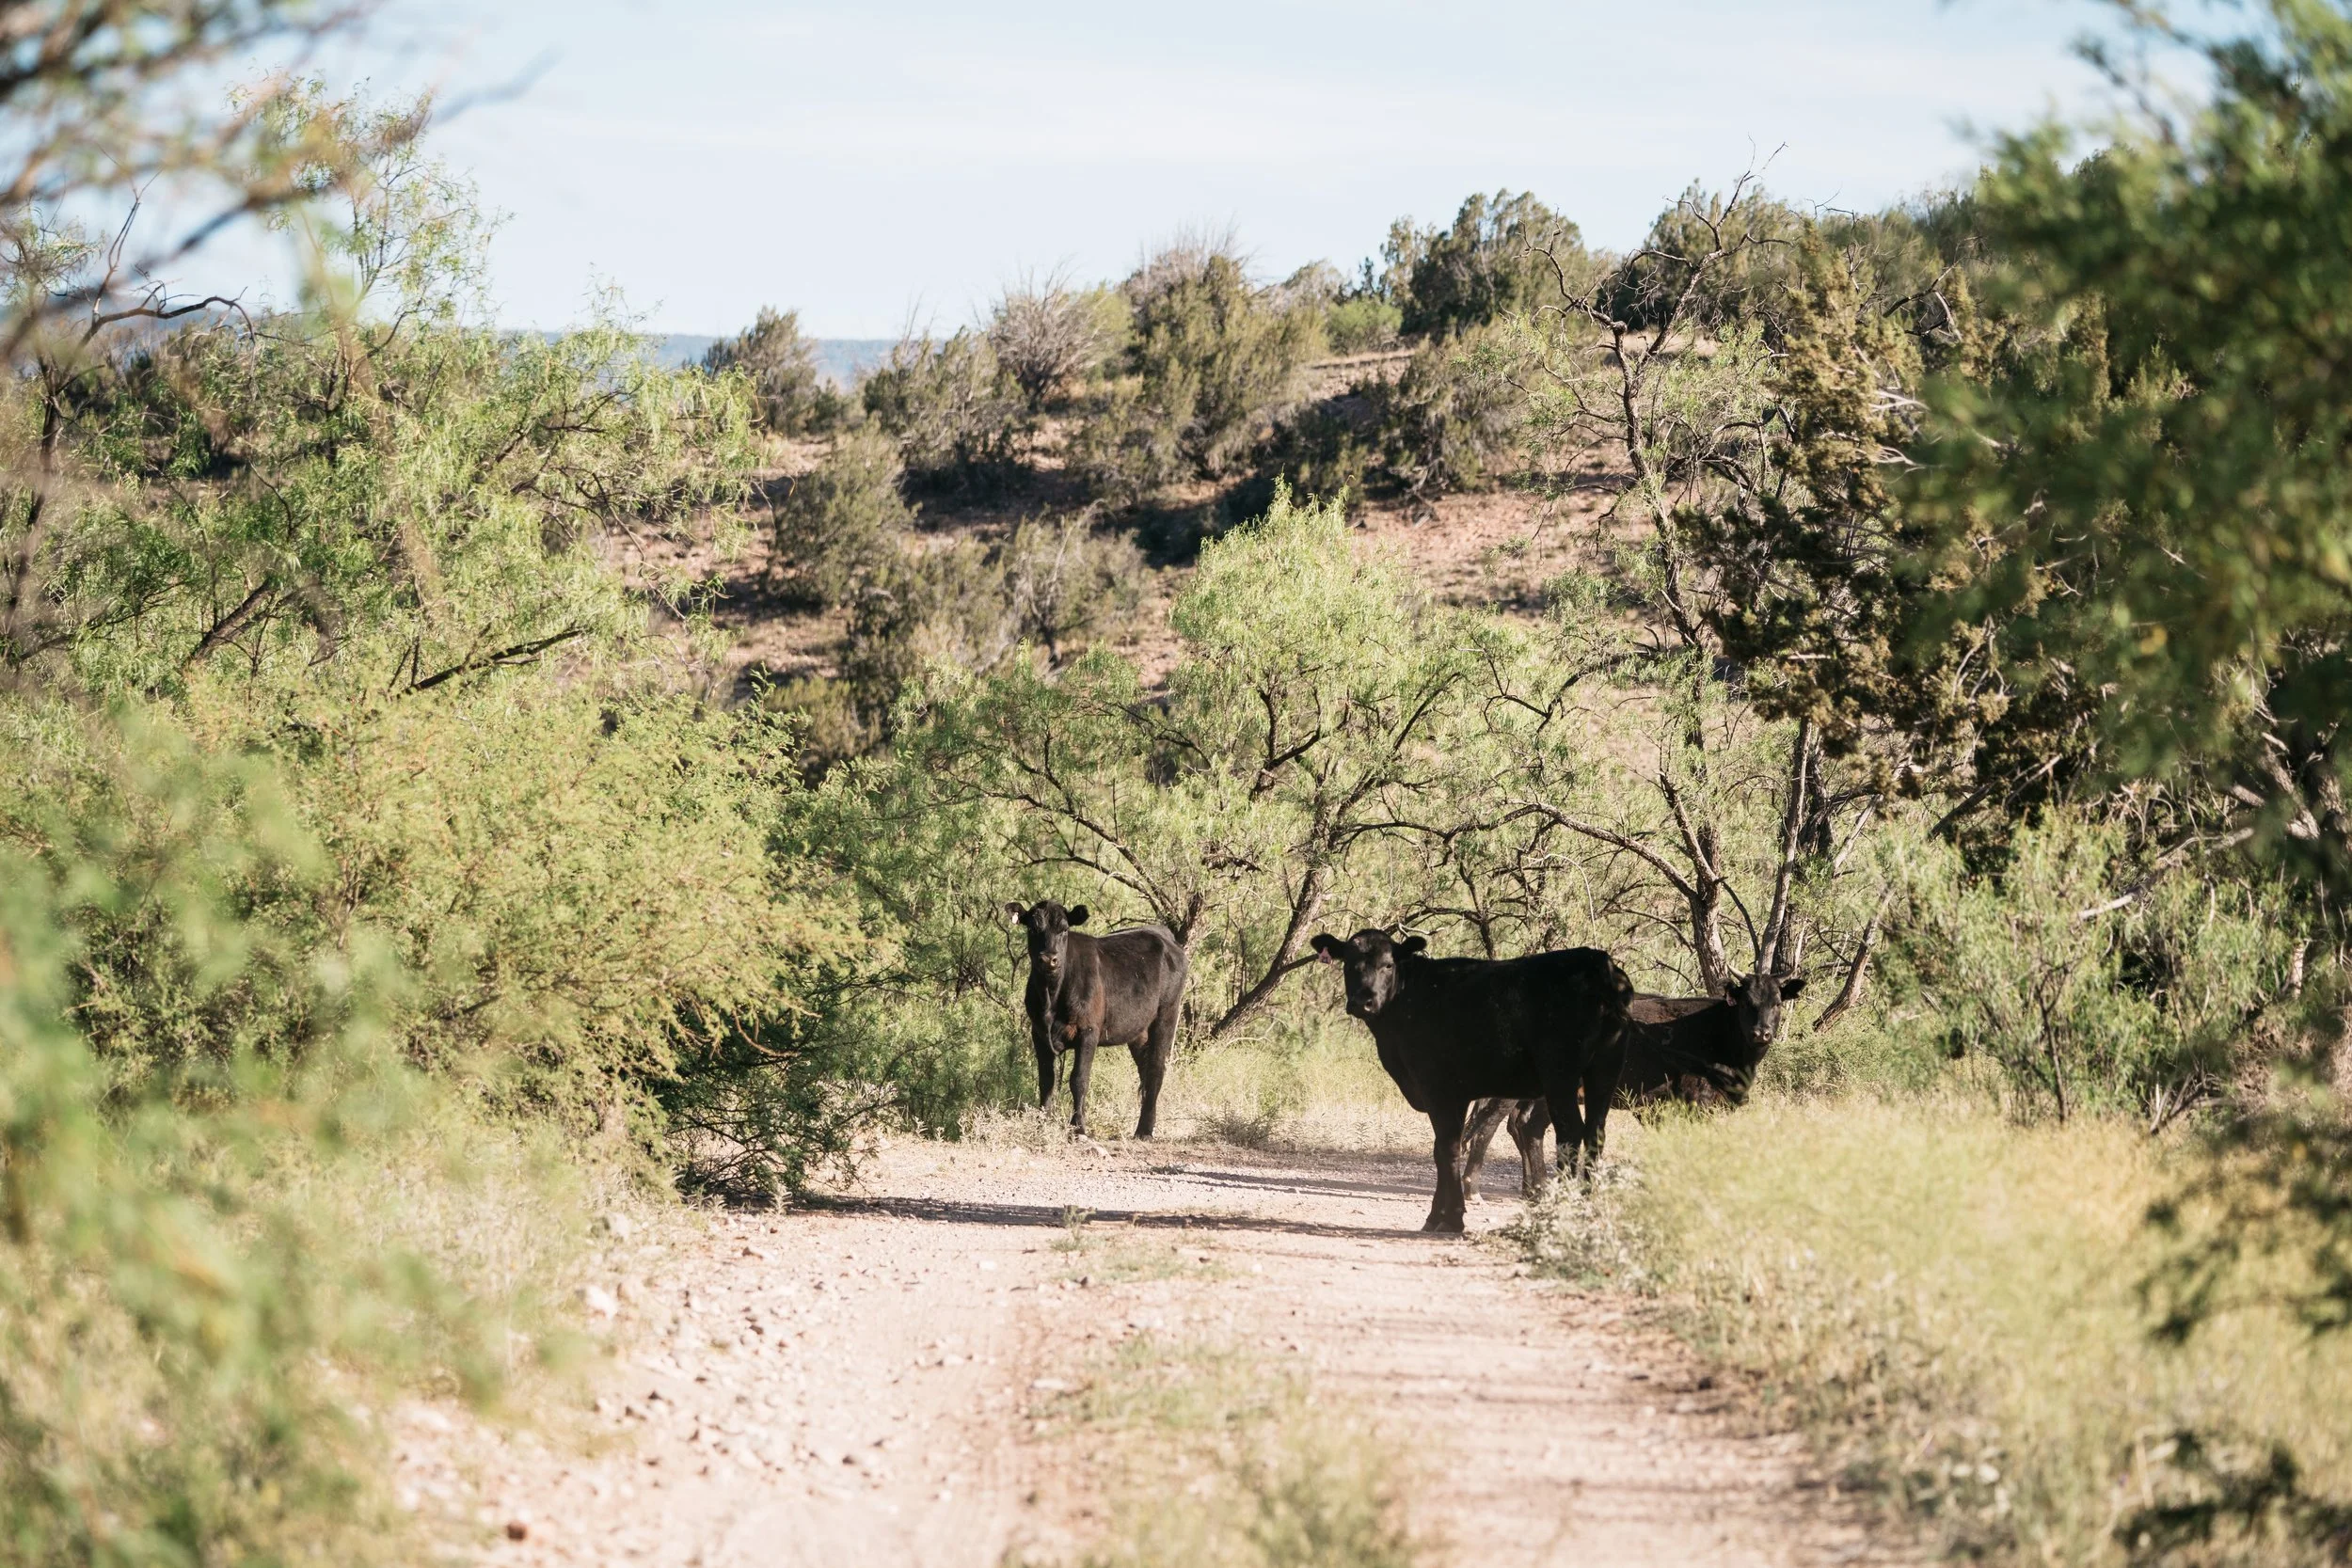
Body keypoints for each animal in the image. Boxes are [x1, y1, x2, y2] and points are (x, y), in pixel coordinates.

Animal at [1006, 900, 1188, 1139]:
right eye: (1032, 929)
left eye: (1064, 929)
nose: (1048, 959)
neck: (1050, 996)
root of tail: (1163, 934)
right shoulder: (1038, 1033)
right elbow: (1046, 1081)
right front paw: (1040, 1125)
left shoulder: (1088, 1031)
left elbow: (1079, 1079)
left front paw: (1079, 1128)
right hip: (1139, 1030)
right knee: (1145, 1068)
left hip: (1167, 1013)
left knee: (1156, 1068)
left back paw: (1145, 1131)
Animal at [1307, 928, 1633, 1234]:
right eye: (1349, 964)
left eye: (1388, 964)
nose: (1363, 1001)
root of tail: (1598, 963)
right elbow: (1440, 1149)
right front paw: (1437, 1216)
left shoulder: (1438, 1087)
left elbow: (1448, 1147)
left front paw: (1451, 1218)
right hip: (1604, 1072)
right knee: (1595, 1133)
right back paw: (1586, 1206)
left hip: (1559, 1074)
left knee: (1569, 1131)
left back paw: (1563, 1208)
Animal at [1460, 972, 1807, 1198]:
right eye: (1747, 1003)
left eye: (1777, 1003)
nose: (1762, 1033)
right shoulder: (1695, 1101)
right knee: (1491, 1124)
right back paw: (1474, 1187)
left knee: (1528, 1127)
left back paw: (1541, 1189)